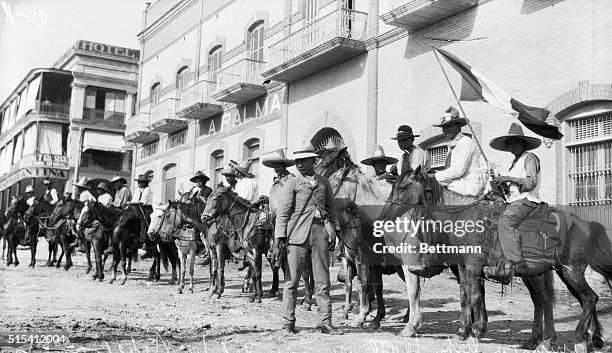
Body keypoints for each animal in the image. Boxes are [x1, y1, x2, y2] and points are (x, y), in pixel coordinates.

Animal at [388, 168, 612, 350]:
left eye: (404, 186)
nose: (386, 210)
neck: (462, 218)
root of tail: (586, 224)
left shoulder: (473, 266)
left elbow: (475, 296)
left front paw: (477, 332)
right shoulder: (462, 267)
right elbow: (464, 297)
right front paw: (461, 333)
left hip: (571, 270)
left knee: (589, 298)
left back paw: (580, 338)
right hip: (547, 272)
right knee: (548, 300)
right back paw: (543, 341)